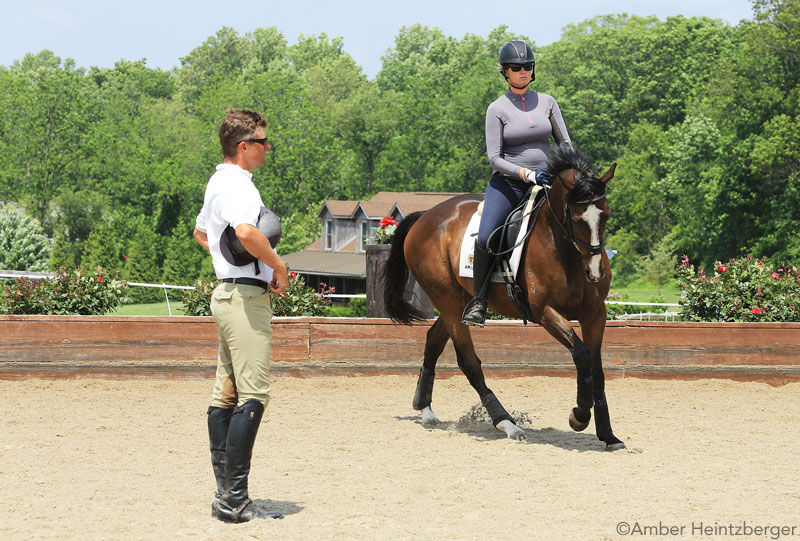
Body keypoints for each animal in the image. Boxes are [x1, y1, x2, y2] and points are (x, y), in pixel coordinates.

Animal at [382, 146, 624, 450]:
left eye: (606, 214)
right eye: (577, 218)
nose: (594, 272)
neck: (565, 250)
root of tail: (426, 216)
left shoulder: (595, 314)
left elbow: (597, 369)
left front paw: (608, 435)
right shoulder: (544, 312)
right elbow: (581, 355)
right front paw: (578, 416)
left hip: (458, 303)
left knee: (433, 342)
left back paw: (425, 409)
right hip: (446, 300)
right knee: (469, 363)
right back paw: (507, 424)